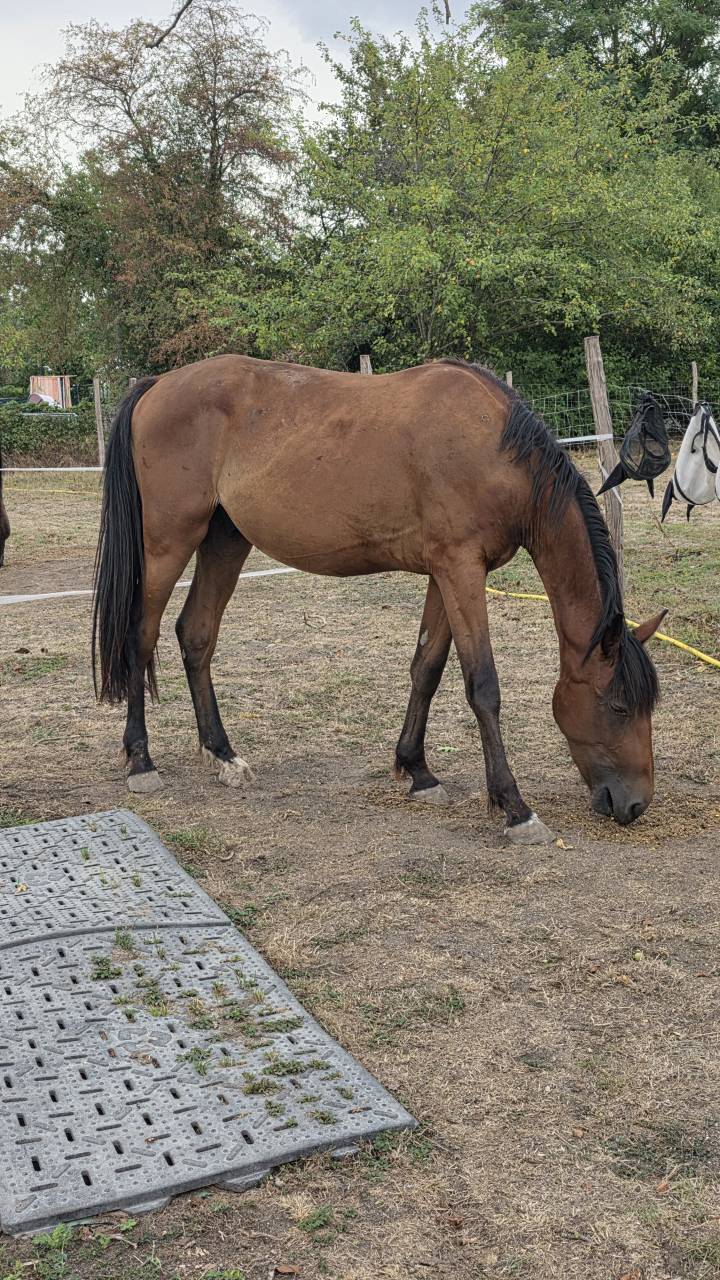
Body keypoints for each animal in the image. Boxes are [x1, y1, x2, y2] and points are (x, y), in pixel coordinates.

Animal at [92, 356, 666, 843]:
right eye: (618, 706)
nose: (636, 805)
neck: (496, 447)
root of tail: (157, 386)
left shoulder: (446, 573)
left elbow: (426, 669)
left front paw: (417, 771)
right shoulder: (461, 570)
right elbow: (483, 686)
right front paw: (514, 807)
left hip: (224, 539)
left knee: (196, 634)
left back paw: (223, 755)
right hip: (168, 542)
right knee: (141, 638)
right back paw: (141, 760)